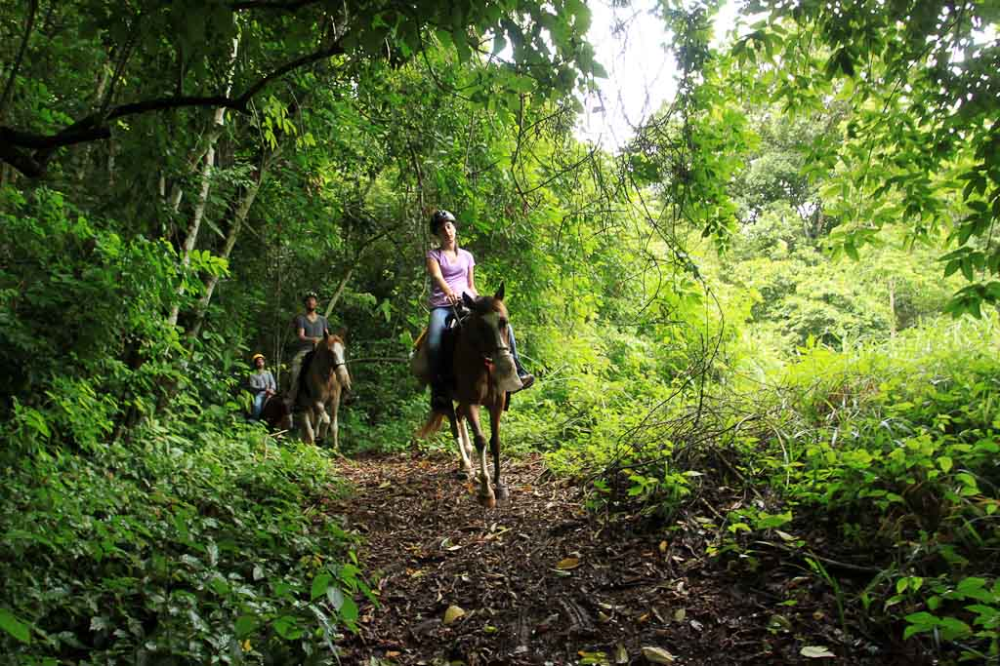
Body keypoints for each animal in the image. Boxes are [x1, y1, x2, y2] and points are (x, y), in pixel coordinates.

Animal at [416, 282, 520, 506]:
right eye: (481, 327)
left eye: (504, 322)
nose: (504, 366)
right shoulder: (472, 402)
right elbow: (481, 440)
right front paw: (486, 491)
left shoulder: (496, 403)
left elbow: (495, 442)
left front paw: (499, 485)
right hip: (446, 398)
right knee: (454, 424)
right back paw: (465, 464)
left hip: (461, 399)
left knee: (459, 415)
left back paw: (467, 463)